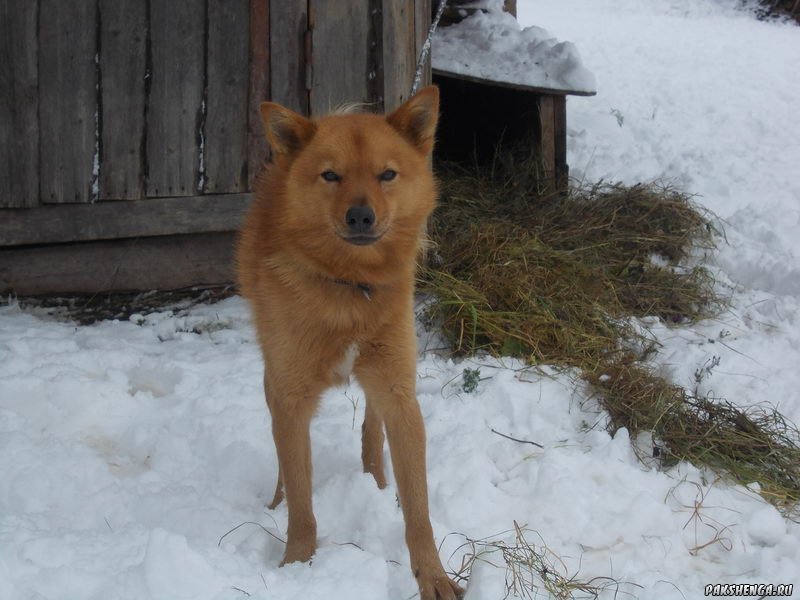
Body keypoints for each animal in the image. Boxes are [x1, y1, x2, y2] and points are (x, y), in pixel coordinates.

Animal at [236, 85, 462, 600]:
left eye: (387, 174)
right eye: (331, 175)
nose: (361, 215)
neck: (349, 287)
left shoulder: (400, 394)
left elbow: (418, 511)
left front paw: (433, 576)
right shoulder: (291, 394)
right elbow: (302, 499)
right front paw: (297, 563)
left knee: (371, 427)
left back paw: (375, 478)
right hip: (274, 373)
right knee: (285, 455)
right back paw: (277, 499)